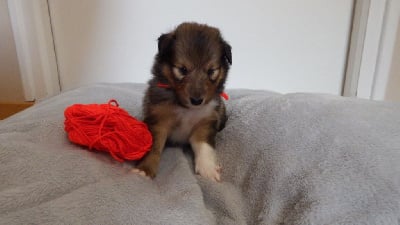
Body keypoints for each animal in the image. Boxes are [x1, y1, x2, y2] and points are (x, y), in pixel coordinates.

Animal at [134, 22, 233, 181]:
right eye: (182, 69)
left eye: (211, 71)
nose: (197, 101)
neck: (187, 109)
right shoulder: (158, 119)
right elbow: (153, 145)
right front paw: (144, 170)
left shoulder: (205, 122)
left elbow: (204, 146)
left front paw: (208, 169)